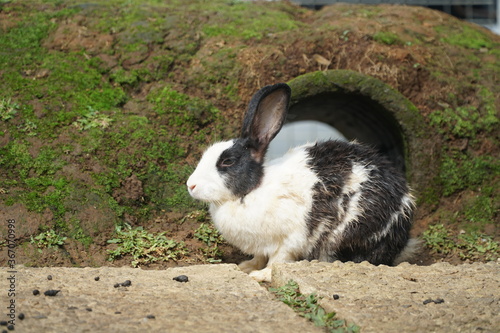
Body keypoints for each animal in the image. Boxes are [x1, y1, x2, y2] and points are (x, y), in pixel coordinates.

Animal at [186, 82, 416, 280]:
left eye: (227, 162)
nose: (190, 185)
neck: (250, 191)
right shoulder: (262, 246)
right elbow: (260, 257)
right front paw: (246, 267)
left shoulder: (289, 239)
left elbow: (277, 261)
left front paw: (260, 275)